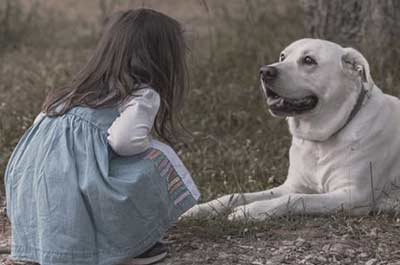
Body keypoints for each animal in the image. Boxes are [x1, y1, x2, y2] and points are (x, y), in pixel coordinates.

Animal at [186, 37, 400, 219]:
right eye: (282, 56)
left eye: (308, 60)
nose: (265, 71)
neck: (320, 140)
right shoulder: (291, 186)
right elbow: (236, 195)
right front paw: (201, 208)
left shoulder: (352, 196)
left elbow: (297, 199)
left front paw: (251, 210)